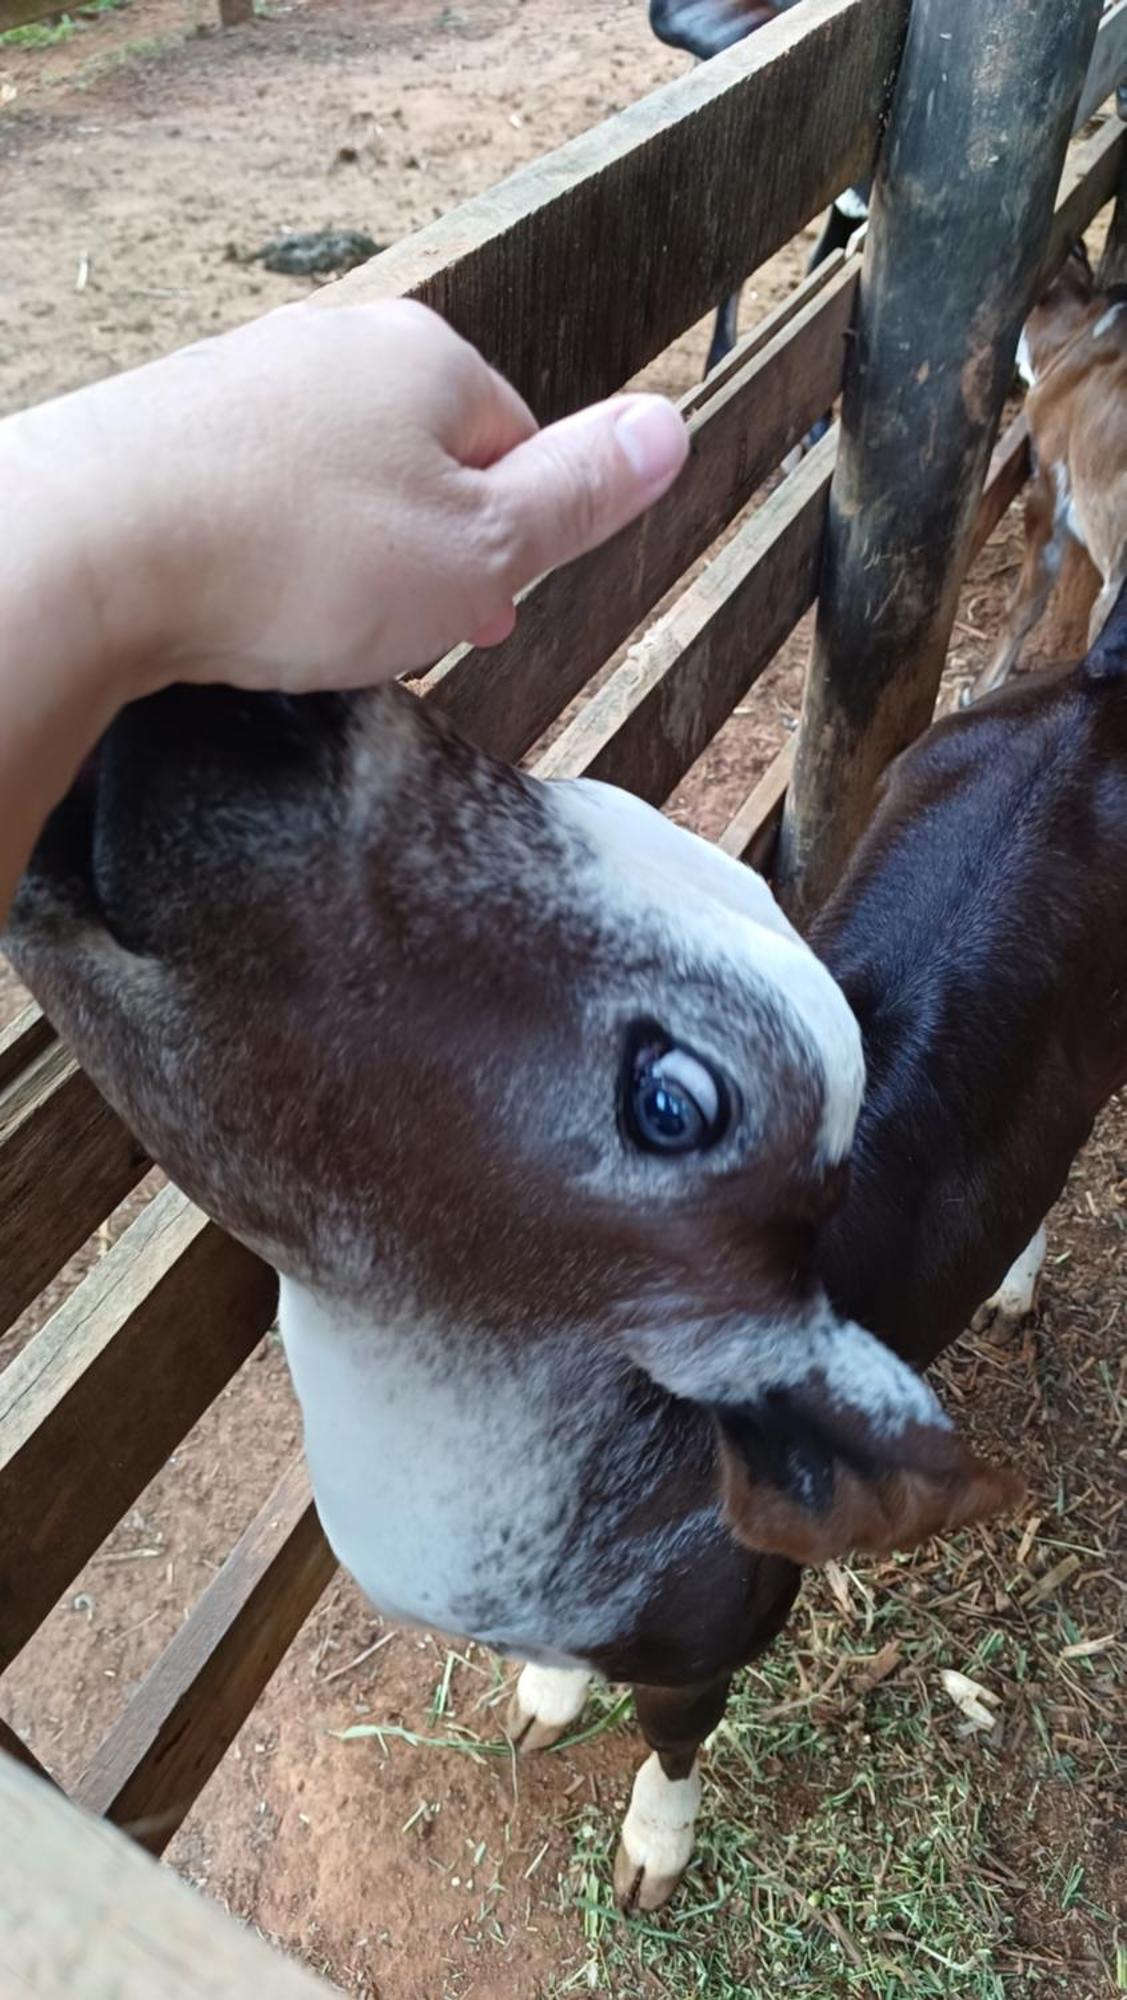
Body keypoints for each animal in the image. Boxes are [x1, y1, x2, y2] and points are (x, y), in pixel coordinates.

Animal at [8, 588, 1127, 1904]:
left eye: (670, 1100)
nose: (236, 696)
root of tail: (1099, 683)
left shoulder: (728, 1608)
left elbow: (678, 1728)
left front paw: (651, 1852)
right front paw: (543, 1700)